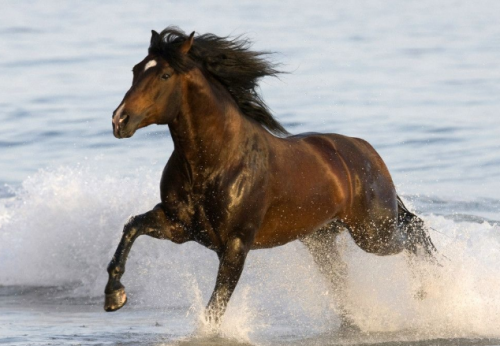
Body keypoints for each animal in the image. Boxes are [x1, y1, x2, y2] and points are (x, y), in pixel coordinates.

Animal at [105, 27, 438, 328]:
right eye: (136, 70)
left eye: (164, 76)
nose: (120, 120)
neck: (217, 162)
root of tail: (366, 151)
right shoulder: (179, 227)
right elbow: (132, 227)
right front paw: (114, 296)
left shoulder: (236, 244)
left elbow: (216, 306)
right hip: (322, 239)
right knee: (344, 276)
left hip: (372, 232)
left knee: (415, 233)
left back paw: (428, 292)